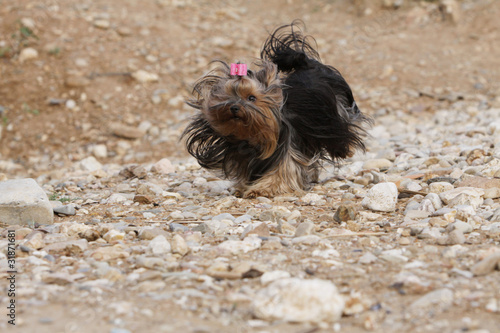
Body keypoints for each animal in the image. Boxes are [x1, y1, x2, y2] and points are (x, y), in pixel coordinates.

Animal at [182, 22, 370, 197]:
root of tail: (307, 64)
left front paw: (262, 189)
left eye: (251, 98)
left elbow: (283, 170)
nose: (234, 107)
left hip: (334, 115)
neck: (251, 135)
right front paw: (243, 187)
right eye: (227, 96)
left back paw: (345, 150)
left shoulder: (287, 146)